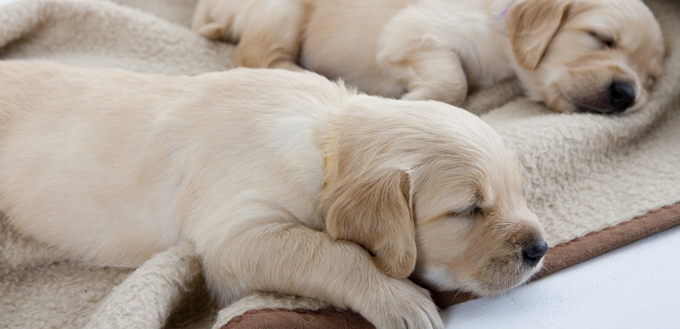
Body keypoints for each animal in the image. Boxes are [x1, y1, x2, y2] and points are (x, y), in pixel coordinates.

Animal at [0, 59, 548, 328]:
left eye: (517, 192)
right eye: (467, 210)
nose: (539, 249)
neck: (325, 142)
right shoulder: (233, 239)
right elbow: (331, 252)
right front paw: (399, 301)